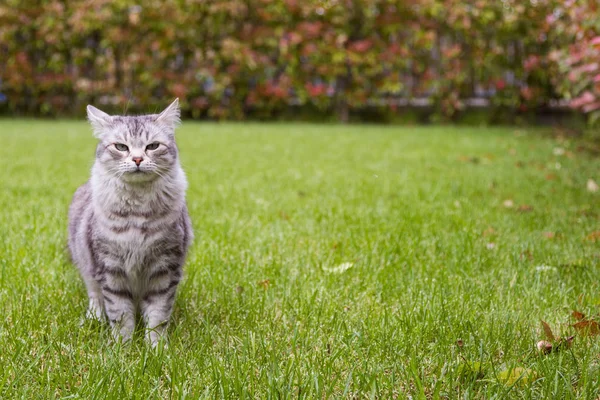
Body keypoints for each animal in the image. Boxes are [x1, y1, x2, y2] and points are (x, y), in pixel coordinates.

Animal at [69, 98, 193, 346]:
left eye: (152, 146)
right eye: (121, 147)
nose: (137, 159)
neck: (138, 214)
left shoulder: (164, 268)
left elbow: (157, 317)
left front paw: (156, 349)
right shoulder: (111, 268)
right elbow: (120, 315)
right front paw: (122, 349)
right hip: (86, 266)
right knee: (95, 295)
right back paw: (94, 318)